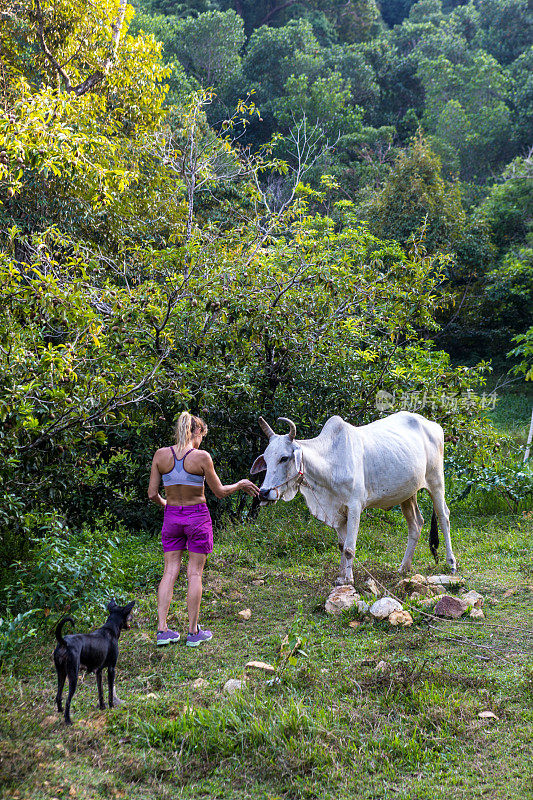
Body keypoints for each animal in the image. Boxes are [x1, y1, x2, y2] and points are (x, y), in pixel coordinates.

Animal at [249, 412, 454, 580]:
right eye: (266, 458)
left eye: (284, 458)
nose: (264, 493)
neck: (331, 462)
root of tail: (432, 424)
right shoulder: (337, 511)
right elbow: (341, 545)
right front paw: (340, 577)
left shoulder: (355, 506)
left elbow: (349, 548)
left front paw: (349, 580)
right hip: (407, 494)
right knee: (416, 524)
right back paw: (404, 568)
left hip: (436, 481)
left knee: (444, 517)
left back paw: (451, 564)